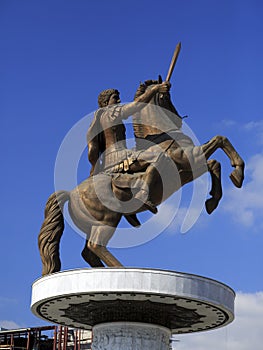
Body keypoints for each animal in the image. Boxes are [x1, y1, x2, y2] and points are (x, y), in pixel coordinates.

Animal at [37, 80, 245, 274]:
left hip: (95, 224)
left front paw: (213, 199)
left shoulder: (190, 169)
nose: (178, 118)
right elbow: (220, 140)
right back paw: (120, 269)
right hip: (107, 220)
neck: (161, 137)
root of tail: (71, 193)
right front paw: (238, 173)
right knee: (95, 246)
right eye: (166, 97)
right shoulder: (189, 158)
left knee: (88, 252)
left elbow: (214, 162)